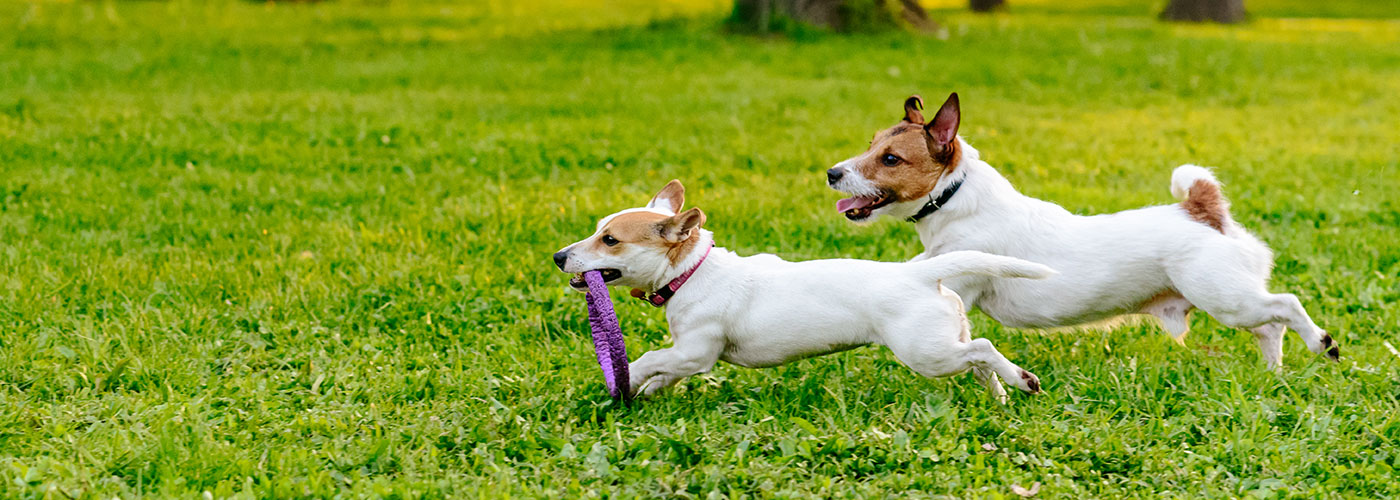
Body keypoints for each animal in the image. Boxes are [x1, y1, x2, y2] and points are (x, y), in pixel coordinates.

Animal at [551, 177, 1052, 400]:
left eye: (609, 240)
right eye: (597, 229)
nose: (558, 256)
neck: (691, 271)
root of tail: (920, 275)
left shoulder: (696, 351)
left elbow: (652, 359)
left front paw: (627, 379)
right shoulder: (687, 357)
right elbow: (664, 372)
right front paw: (644, 393)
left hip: (926, 353)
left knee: (982, 349)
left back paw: (1021, 380)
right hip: (945, 339)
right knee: (978, 357)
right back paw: (1001, 393)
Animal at [823, 92, 1338, 369]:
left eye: (891, 159)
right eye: (870, 144)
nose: (831, 173)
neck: (957, 198)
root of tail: (1202, 209)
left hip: (1226, 297)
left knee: (1286, 307)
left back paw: (1321, 343)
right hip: (1235, 303)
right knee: (1270, 328)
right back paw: (1273, 372)